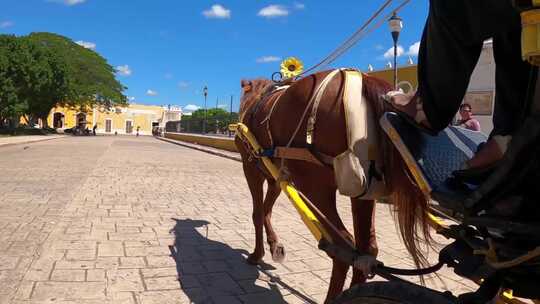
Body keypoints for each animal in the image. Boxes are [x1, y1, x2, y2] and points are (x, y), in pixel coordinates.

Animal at [236, 70, 434, 302]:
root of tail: (364, 80)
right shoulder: (276, 174)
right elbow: (266, 209)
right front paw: (275, 246)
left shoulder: (251, 168)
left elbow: (258, 213)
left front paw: (256, 254)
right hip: (364, 188)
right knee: (366, 251)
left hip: (314, 183)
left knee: (342, 247)